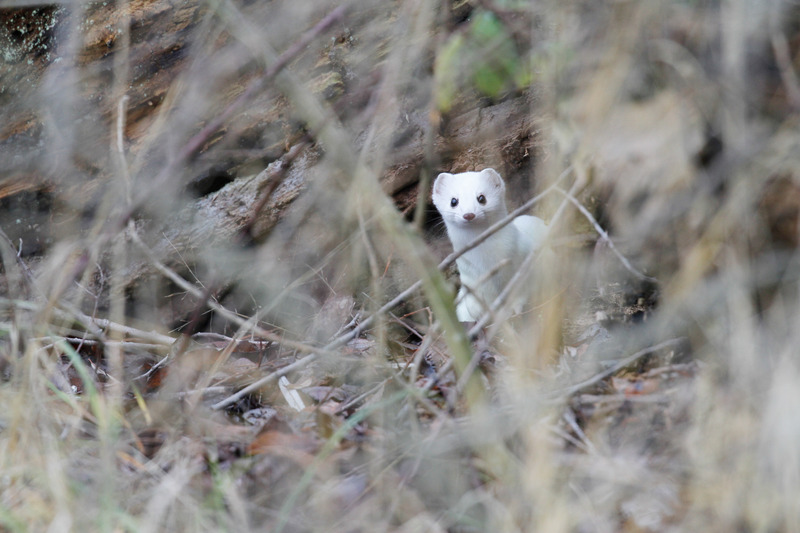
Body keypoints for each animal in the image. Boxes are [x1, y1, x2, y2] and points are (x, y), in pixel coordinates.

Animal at [432, 168, 552, 322]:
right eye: (453, 201)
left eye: (481, 198)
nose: (469, 214)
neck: (485, 260)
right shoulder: (469, 275)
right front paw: (475, 312)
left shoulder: (521, 262)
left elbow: (520, 291)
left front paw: (514, 308)